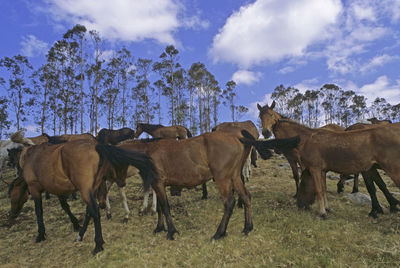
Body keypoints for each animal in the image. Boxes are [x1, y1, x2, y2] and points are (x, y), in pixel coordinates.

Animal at [7, 139, 158, 254]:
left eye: (12, 196)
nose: (11, 214)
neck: (30, 158)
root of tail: (96, 146)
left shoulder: (35, 188)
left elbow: (39, 212)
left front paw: (40, 234)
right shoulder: (59, 189)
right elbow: (65, 206)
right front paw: (76, 225)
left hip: (85, 190)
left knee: (95, 211)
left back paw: (98, 244)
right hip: (91, 188)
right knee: (90, 211)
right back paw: (81, 236)